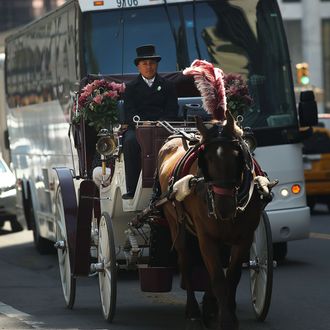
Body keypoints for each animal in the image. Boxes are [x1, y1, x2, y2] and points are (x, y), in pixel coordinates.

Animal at [159, 112, 270, 328]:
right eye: (206, 158)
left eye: (237, 155)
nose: (224, 207)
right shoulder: (207, 236)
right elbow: (218, 278)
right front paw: (225, 319)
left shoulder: (244, 237)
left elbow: (232, 276)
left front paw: (227, 311)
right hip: (176, 222)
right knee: (185, 261)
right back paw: (193, 309)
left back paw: (210, 306)